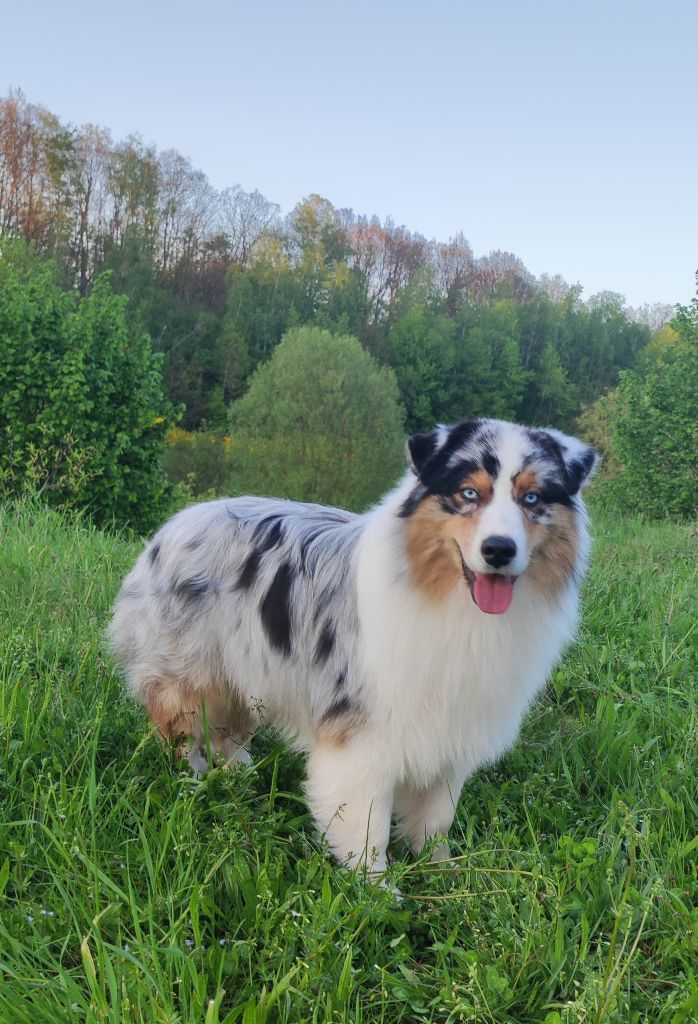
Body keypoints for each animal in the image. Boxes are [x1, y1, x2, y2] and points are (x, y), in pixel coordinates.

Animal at [107, 415, 593, 872]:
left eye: (532, 499)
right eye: (469, 493)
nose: (499, 549)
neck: (450, 601)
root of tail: (177, 521)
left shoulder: (453, 727)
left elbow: (436, 815)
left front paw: (441, 871)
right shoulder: (363, 733)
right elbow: (366, 825)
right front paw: (375, 887)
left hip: (247, 671)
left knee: (230, 732)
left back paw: (241, 776)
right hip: (189, 678)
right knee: (181, 735)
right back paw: (193, 785)